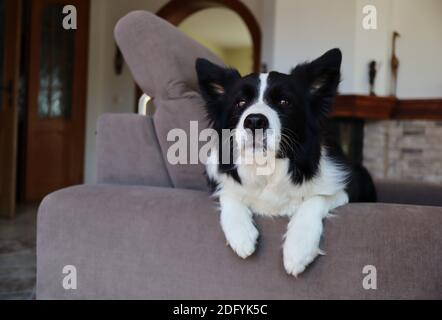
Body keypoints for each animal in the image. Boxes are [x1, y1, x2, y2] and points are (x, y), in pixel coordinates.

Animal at [195, 48, 374, 276]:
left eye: (284, 102)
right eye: (240, 103)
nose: (255, 121)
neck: (267, 167)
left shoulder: (345, 189)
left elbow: (317, 199)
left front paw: (298, 248)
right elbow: (228, 194)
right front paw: (241, 234)